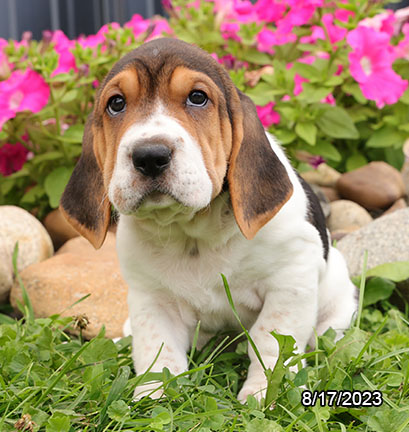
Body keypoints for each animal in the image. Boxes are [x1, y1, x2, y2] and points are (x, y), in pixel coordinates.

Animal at [59, 37, 356, 402]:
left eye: (197, 97)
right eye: (116, 103)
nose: (150, 156)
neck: (191, 230)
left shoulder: (290, 279)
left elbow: (271, 342)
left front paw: (262, 394)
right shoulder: (150, 297)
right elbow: (157, 349)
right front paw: (153, 396)